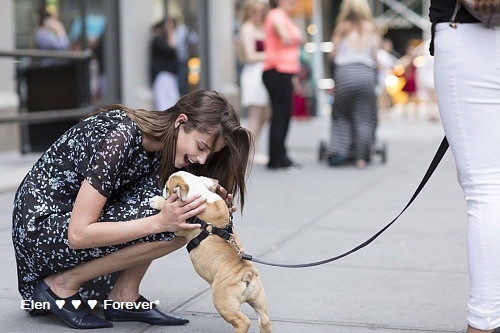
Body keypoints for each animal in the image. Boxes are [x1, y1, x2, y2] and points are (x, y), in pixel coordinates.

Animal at [150, 171, 272, 332]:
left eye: (166, 187)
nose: (161, 188)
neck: (200, 192)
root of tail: (247, 275)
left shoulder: (180, 223)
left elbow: (168, 209)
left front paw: (157, 201)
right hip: (259, 300)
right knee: (264, 320)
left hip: (223, 302)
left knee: (242, 321)